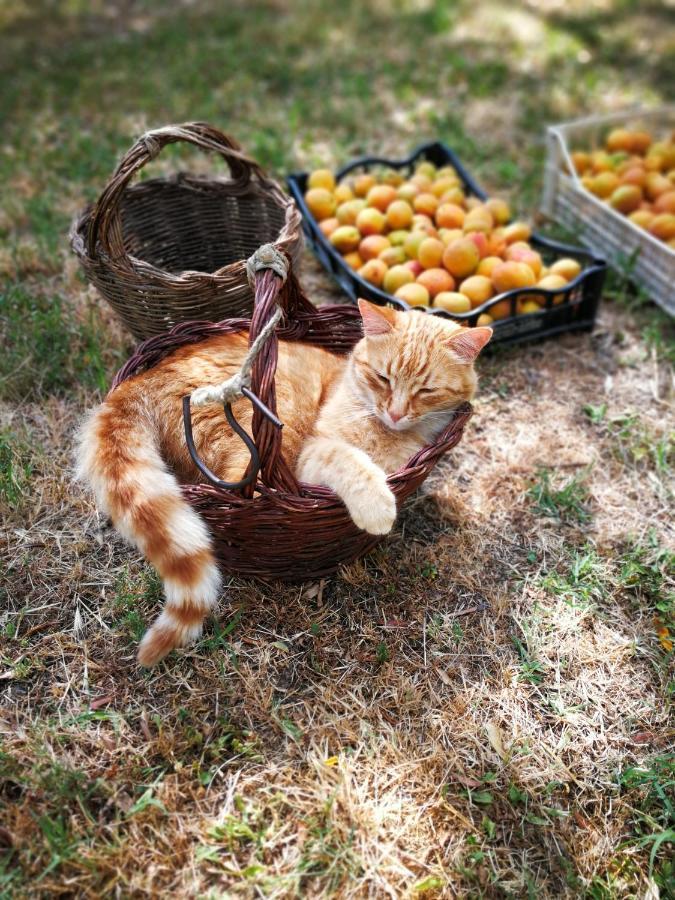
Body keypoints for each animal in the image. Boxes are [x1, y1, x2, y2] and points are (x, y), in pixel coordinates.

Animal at [78, 298, 492, 664]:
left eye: (426, 391)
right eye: (382, 378)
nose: (395, 412)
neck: (384, 433)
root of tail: (144, 376)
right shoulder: (311, 458)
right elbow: (350, 461)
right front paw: (377, 507)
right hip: (275, 423)